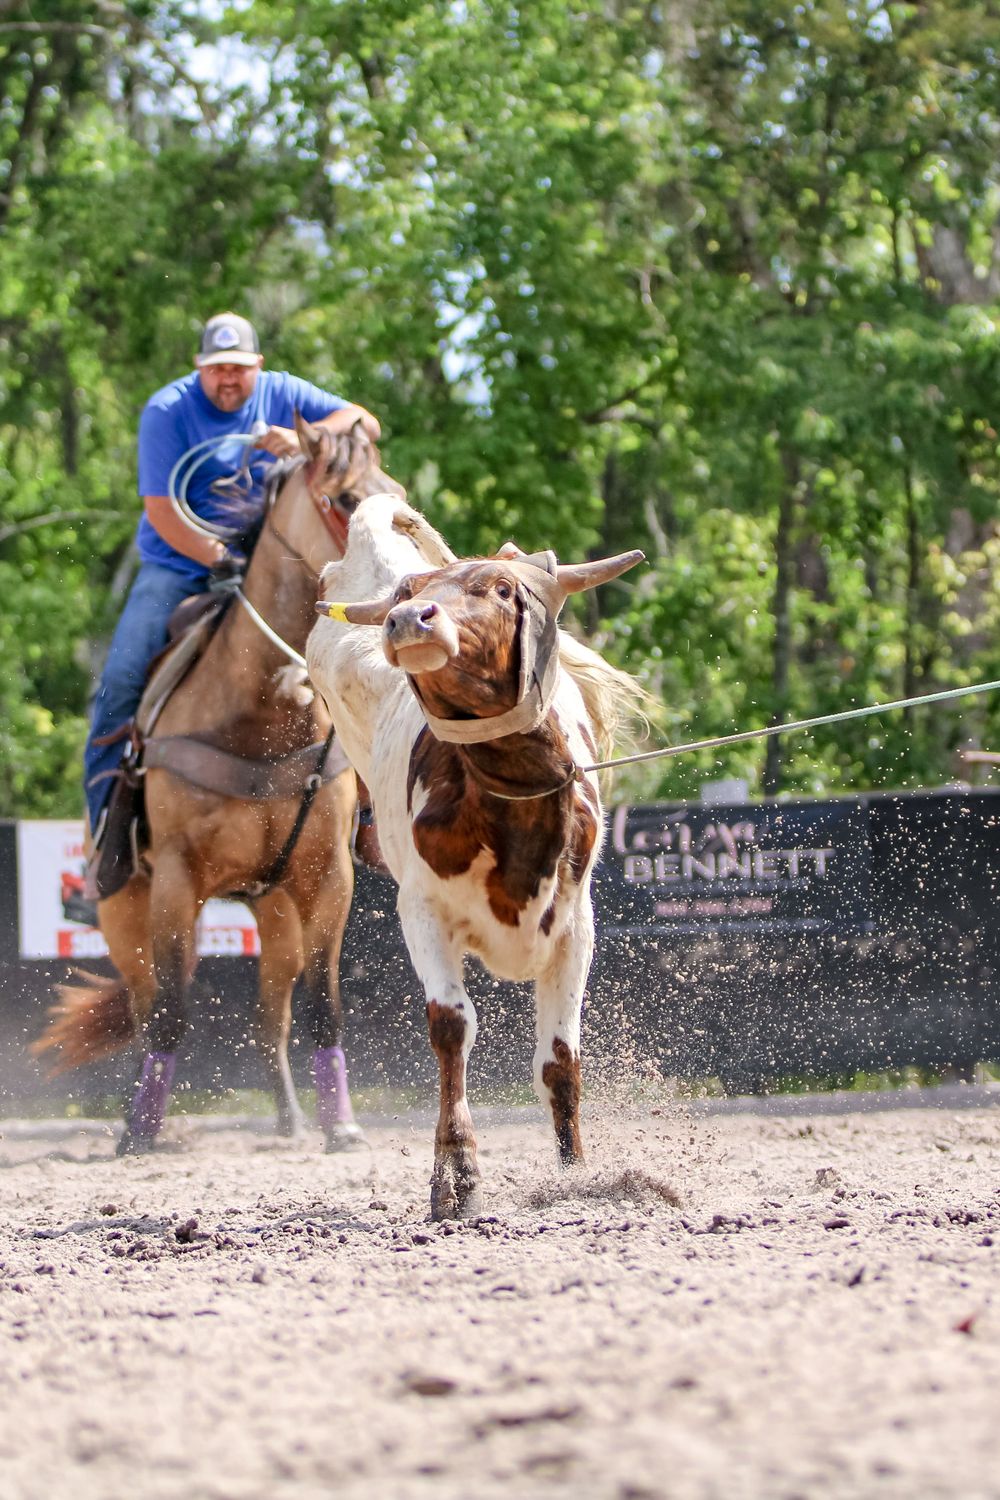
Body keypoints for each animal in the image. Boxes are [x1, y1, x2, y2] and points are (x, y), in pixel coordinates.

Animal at [33, 419, 404, 1154]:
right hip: (127, 913)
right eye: (347, 499)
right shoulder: (178, 880)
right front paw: (140, 1135)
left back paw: (291, 1119)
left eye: (399, 497)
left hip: (275, 912)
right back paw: (136, 1122)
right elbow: (172, 1015)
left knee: (271, 1017)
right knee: (148, 1005)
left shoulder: (327, 879)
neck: (263, 707)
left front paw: (342, 1126)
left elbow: (323, 1007)